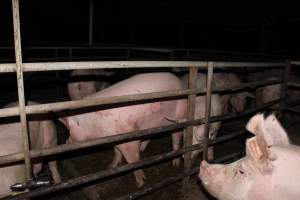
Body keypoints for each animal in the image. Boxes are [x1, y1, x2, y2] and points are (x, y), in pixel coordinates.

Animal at [58, 73, 186, 188]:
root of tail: (178, 80)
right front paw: (111, 167)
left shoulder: (128, 139)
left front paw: (140, 184)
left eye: (69, 129)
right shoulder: (115, 138)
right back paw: (142, 148)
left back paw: (175, 164)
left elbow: (133, 160)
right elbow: (116, 151)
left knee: (176, 138)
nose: (66, 141)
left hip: (178, 114)